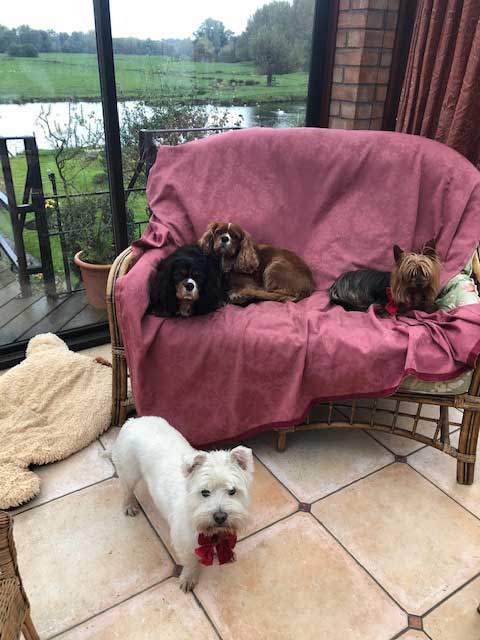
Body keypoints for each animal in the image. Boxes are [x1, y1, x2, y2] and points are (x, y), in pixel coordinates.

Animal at [108, 416, 254, 592]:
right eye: (205, 492)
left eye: (232, 491)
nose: (220, 516)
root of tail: (133, 420)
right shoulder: (183, 542)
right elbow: (190, 562)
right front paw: (189, 578)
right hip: (129, 470)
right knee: (127, 489)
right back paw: (129, 505)